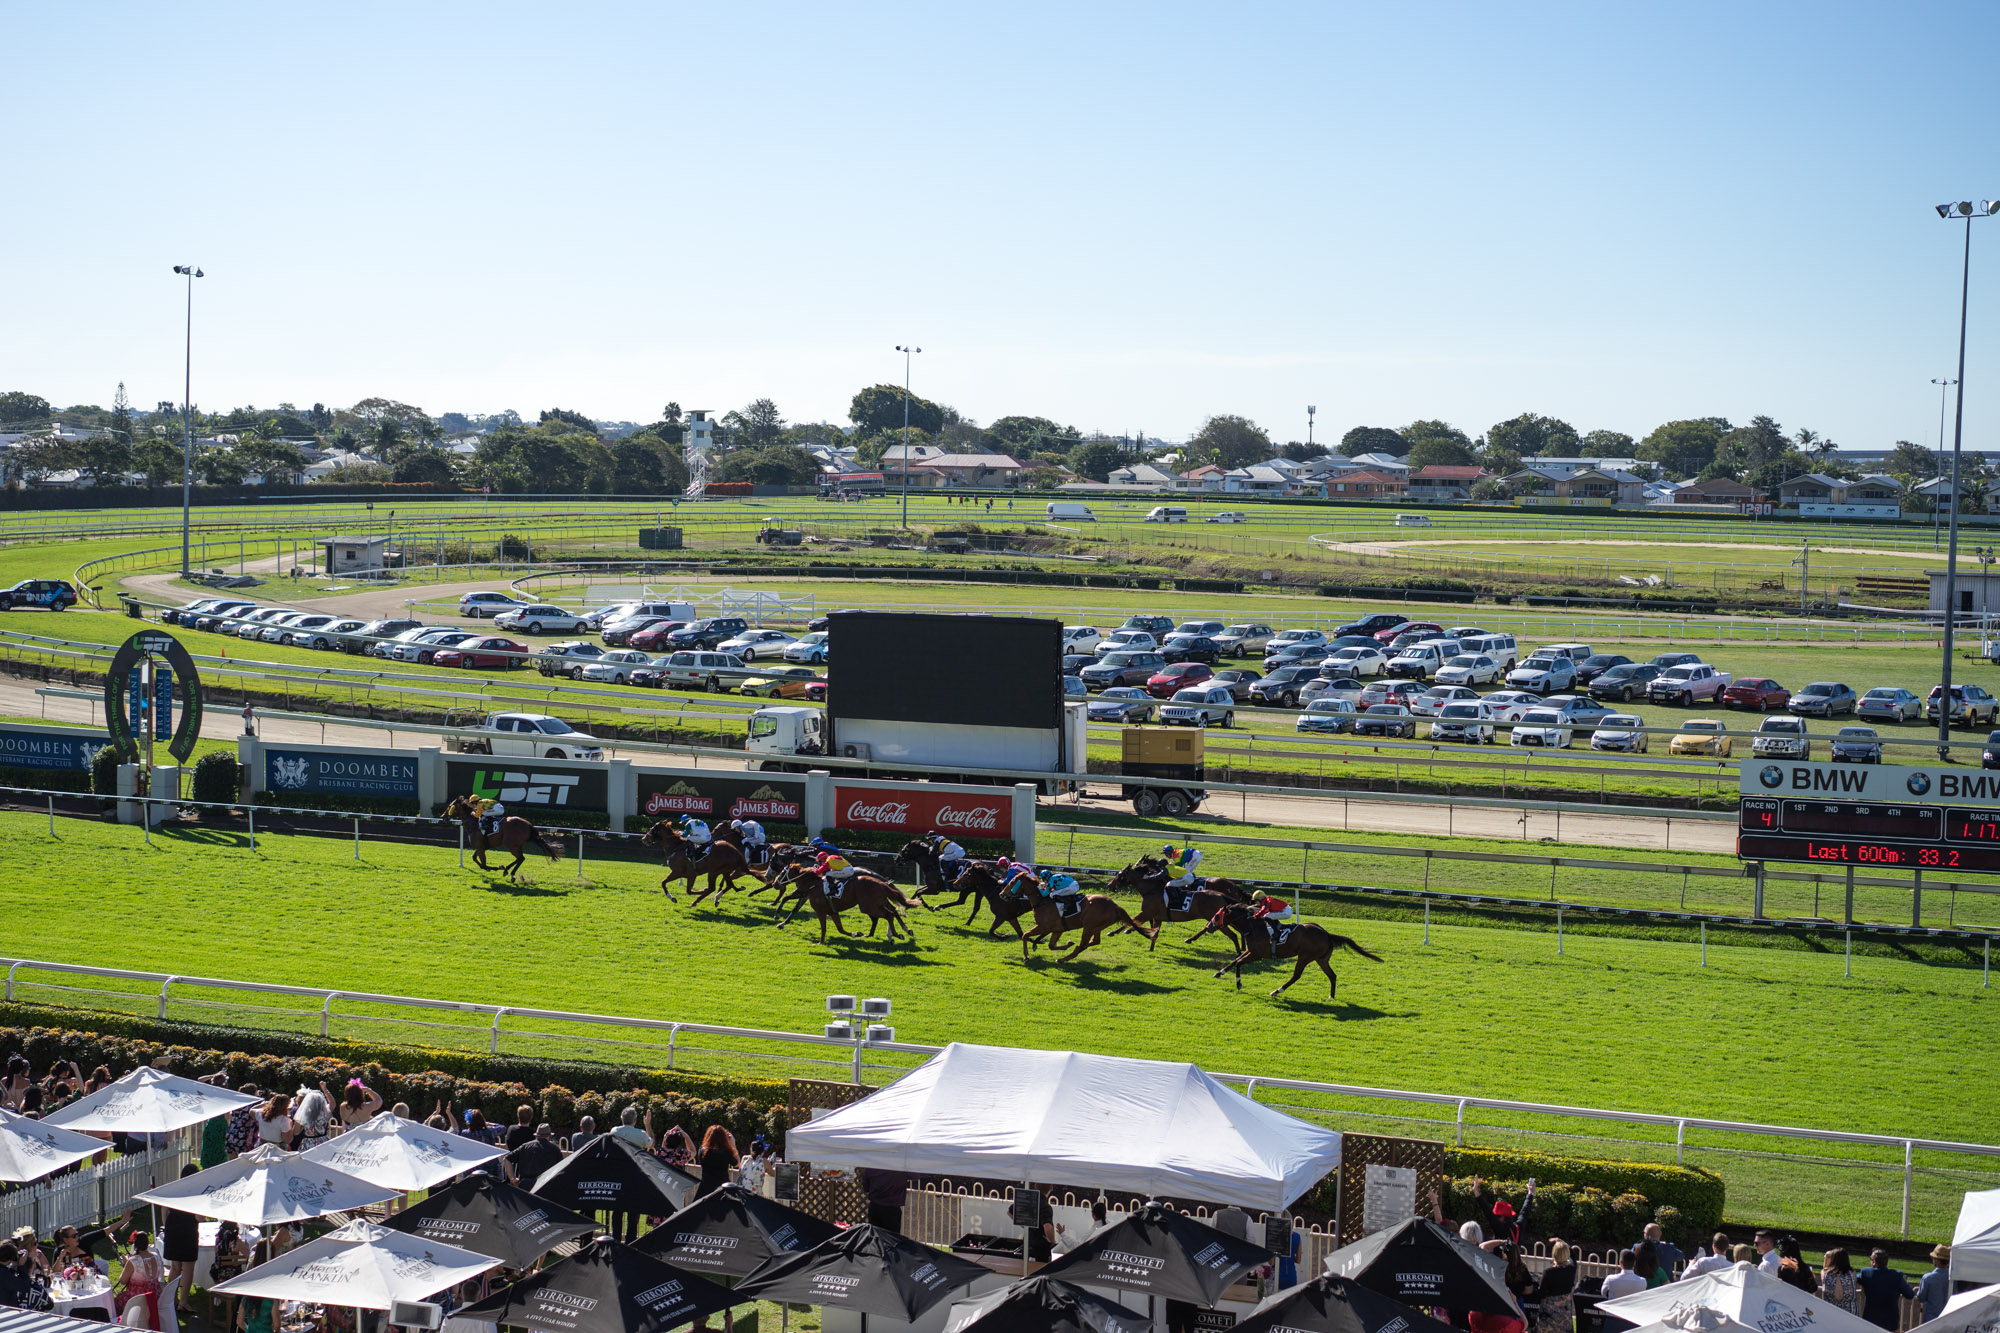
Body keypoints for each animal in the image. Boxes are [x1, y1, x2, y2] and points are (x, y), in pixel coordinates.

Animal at [1112, 852, 1248, 944]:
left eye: (1140, 861)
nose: (1110, 885)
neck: (1153, 889)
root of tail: (1235, 886)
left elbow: (1136, 920)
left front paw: (1126, 930)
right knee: (1209, 926)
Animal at [1176, 904, 1384, 996]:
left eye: (1218, 915)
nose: (1210, 925)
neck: (1252, 925)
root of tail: (1326, 933)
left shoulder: (1257, 954)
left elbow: (1239, 962)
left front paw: (1239, 984)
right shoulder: (1251, 951)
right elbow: (1234, 961)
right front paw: (1219, 973)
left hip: (1305, 957)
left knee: (1296, 976)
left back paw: (1277, 990)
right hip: (1321, 959)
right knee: (1332, 975)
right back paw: (1331, 996)